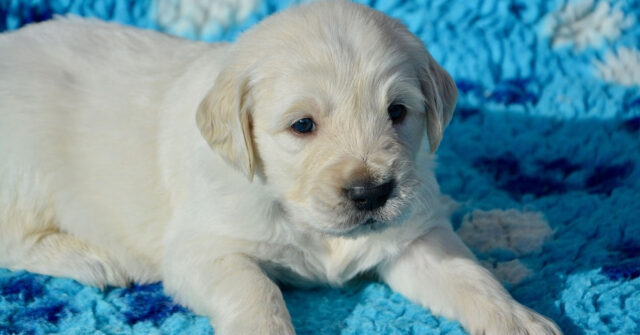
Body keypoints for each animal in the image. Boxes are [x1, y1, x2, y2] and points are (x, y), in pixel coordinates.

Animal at [0, 1, 560, 334]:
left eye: (397, 112)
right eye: (302, 125)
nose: (371, 193)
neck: (297, 210)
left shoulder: (415, 234)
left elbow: (470, 275)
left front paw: (519, 319)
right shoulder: (204, 250)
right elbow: (258, 292)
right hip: (25, 168)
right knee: (13, 238)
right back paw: (90, 258)